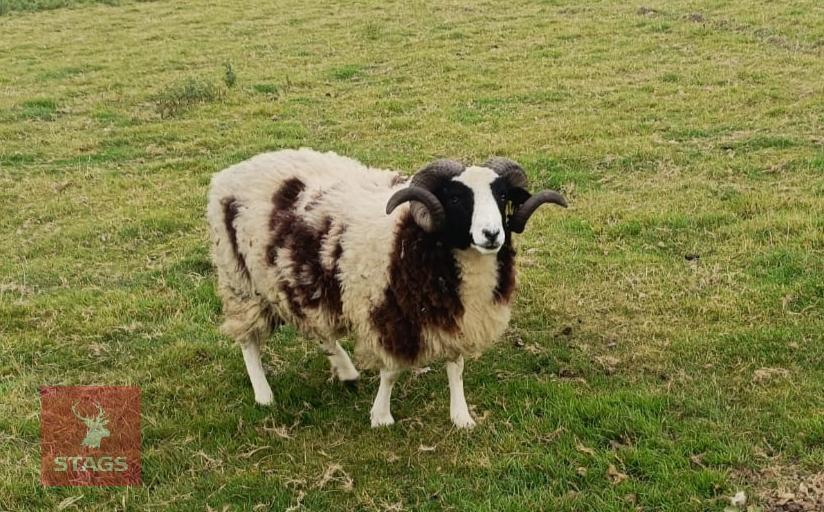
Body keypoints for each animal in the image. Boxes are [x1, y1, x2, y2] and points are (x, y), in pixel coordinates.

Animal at [208, 147, 568, 428]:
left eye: (502, 195)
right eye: (455, 197)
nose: (492, 234)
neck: (412, 234)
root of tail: (231, 172)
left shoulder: (455, 316)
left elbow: (456, 368)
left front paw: (461, 417)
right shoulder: (387, 313)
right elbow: (392, 372)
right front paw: (381, 416)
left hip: (291, 279)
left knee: (316, 328)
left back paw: (345, 370)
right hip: (240, 279)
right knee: (248, 341)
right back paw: (264, 394)